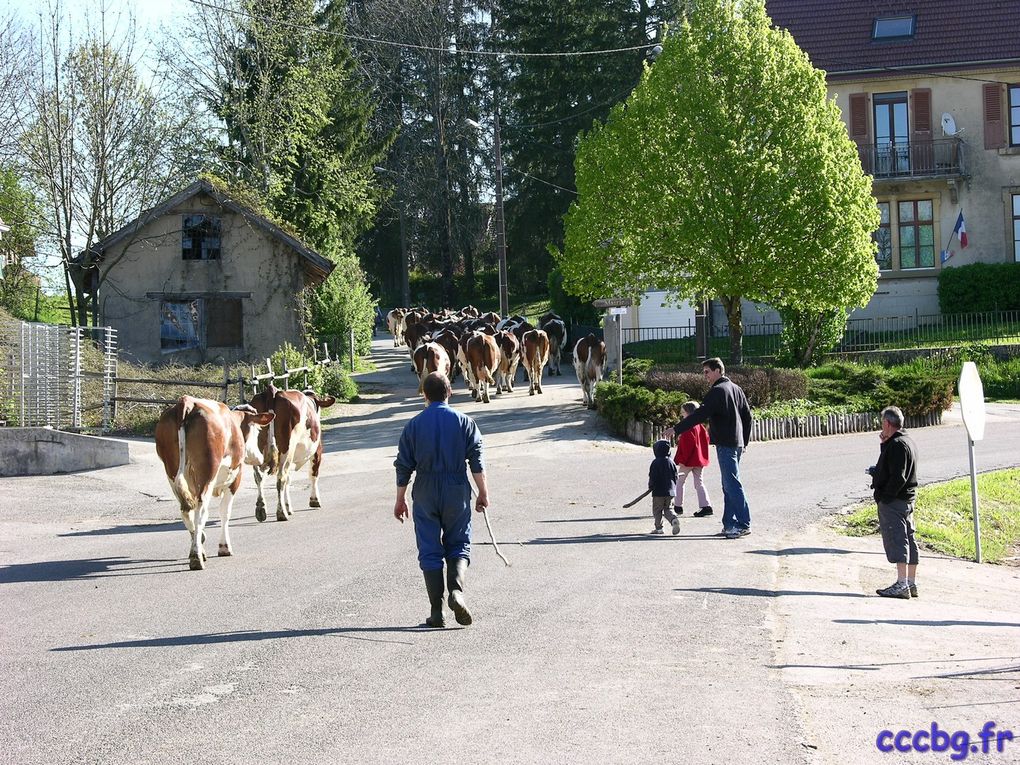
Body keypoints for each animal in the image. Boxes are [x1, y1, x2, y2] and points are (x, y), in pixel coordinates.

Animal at [155, 401, 275, 571]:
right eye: (257, 430)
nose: (259, 458)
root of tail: (187, 402)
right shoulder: (235, 478)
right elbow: (225, 512)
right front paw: (224, 547)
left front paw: (200, 540)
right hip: (208, 473)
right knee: (200, 512)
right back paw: (196, 557)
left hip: (172, 472)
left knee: (186, 511)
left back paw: (198, 548)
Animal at [247, 385, 336, 526]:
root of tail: (272, 390)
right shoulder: (317, 450)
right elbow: (313, 474)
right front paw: (314, 500)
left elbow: (289, 481)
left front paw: (288, 507)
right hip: (287, 449)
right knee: (281, 478)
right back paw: (281, 513)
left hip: (257, 450)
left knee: (259, 477)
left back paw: (261, 510)